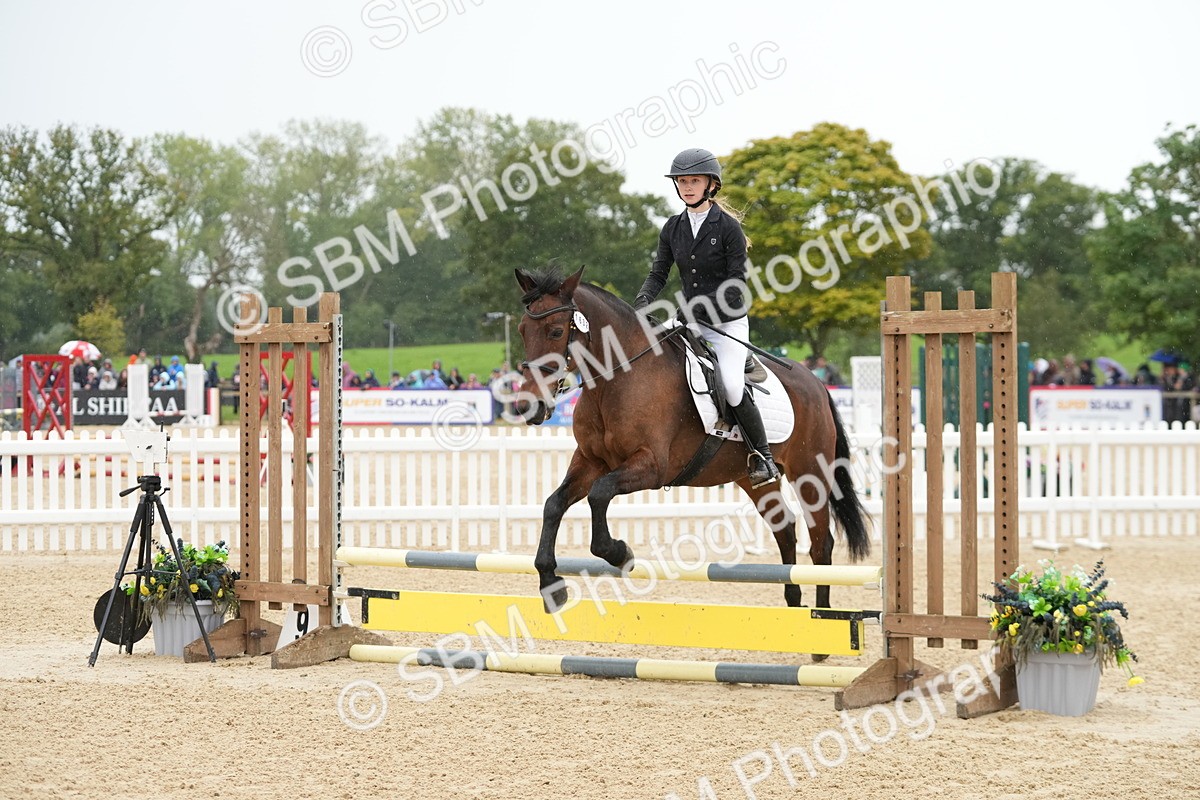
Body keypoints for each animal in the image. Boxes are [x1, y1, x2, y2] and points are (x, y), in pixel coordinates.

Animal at [513, 265, 871, 620]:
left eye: (556, 331)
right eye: (521, 330)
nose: (528, 406)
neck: (617, 380)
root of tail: (816, 383)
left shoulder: (652, 466)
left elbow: (600, 493)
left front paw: (619, 553)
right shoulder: (590, 461)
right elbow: (554, 504)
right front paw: (551, 583)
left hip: (810, 472)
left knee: (821, 542)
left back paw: (823, 616)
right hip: (753, 480)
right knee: (785, 529)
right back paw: (794, 608)